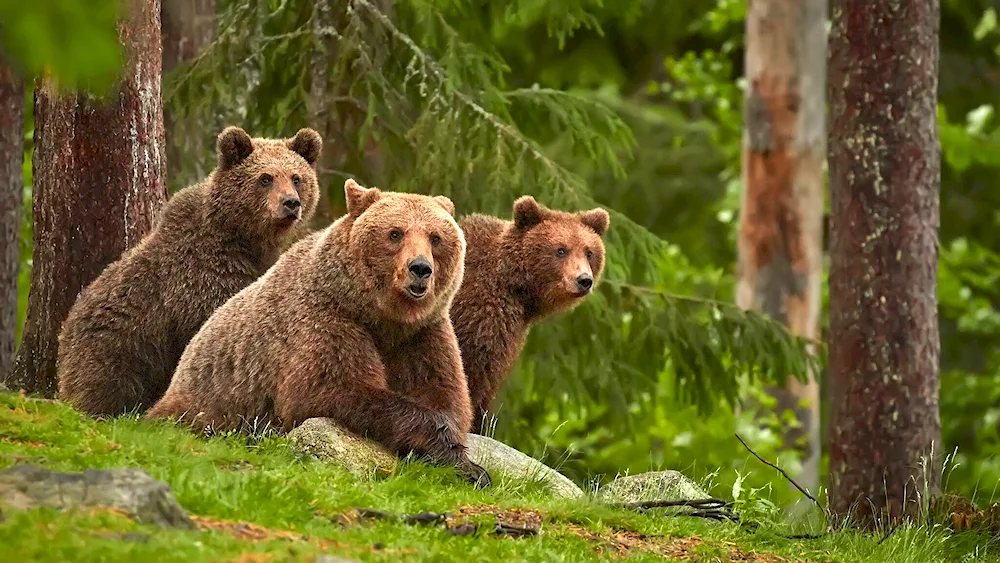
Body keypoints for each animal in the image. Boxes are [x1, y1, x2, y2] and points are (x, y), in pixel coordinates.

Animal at [57, 129, 320, 418]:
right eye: (265, 178)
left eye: (296, 178)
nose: (291, 203)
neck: (242, 239)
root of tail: (64, 333)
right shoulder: (202, 281)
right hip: (118, 343)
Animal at [147, 178, 488, 486]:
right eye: (396, 233)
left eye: (435, 237)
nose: (420, 268)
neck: (381, 318)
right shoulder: (327, 319)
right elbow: (329, 388)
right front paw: (457, 456)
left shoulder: (421, 336)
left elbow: (444, 394)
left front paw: (468, 464)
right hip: (205, 403)